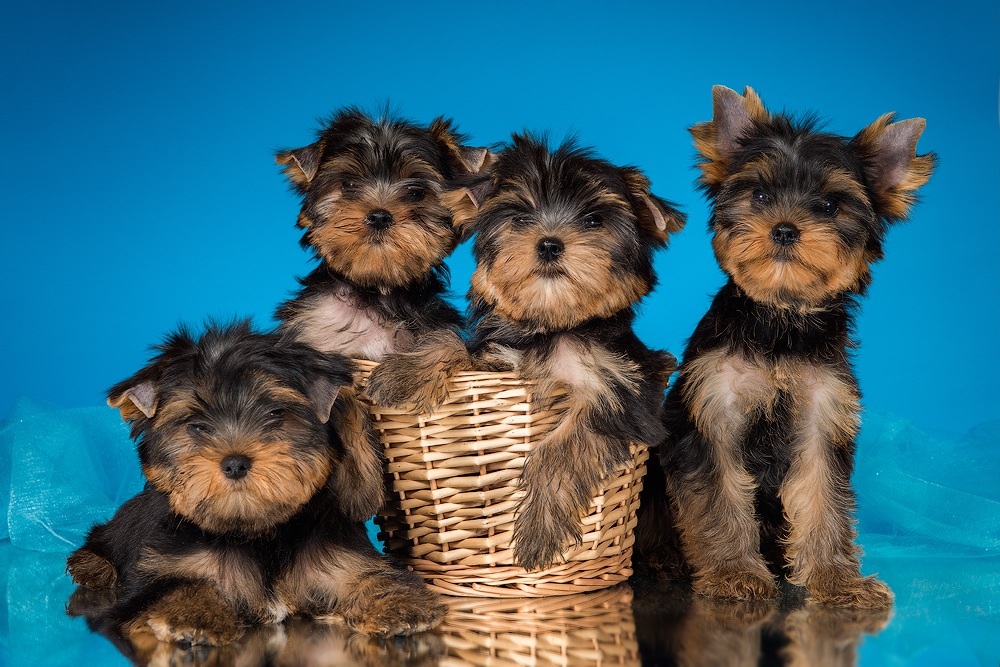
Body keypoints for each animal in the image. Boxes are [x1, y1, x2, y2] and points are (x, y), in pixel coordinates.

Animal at [67, 324, 446, 648]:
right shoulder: (155, 579)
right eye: (197, 426)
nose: (235, 462)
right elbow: (176, 585)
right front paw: (194, 614)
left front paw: (398, 601)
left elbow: (368, 576)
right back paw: (92, 565)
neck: (258, 533)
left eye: (276, 413)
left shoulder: (339, 563)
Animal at [640, 86, 936, 608]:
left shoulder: (822, 417)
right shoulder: (713, 413)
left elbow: (823, 498)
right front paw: (734, 572)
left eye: (829, 206)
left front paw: (837, 579)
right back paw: (665, 558)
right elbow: (720, 495)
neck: (781, 320)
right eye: (759, 195)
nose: (783, 228)